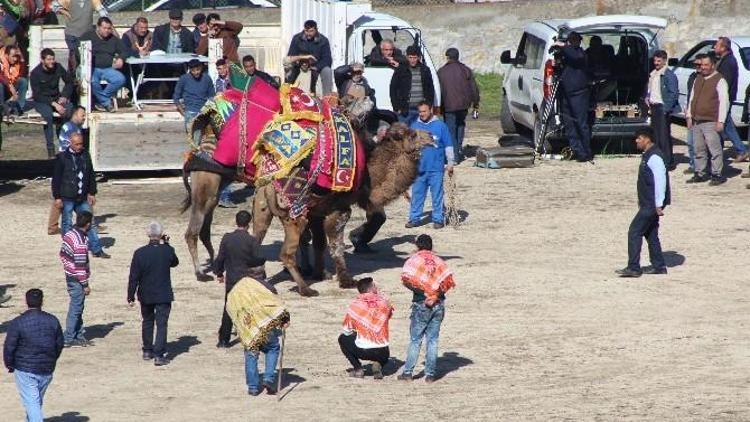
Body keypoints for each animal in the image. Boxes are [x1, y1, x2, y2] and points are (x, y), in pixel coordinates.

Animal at [178, 75, 432, 296]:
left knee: (238, 236)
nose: (430, 136)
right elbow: (335, 245)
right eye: (409, 135)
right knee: (197, 231)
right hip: (220, 192)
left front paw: (320, 272)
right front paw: (345, 279)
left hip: (254, 203)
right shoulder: (338, 210)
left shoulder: (317, 210)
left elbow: (317, 242)